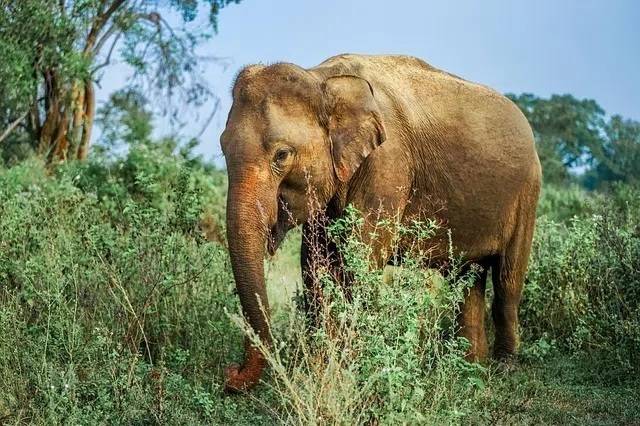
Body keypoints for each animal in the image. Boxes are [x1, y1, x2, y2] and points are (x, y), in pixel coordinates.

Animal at [220, 54, 541, 392]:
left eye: (281, 155)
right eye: (222, 148)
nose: (231, 374)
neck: (322, 80)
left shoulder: (388, 166)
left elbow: (359, 263)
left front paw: (341, 376)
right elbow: (315, 266)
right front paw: (320, 372)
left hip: (528, 192)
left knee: (507, 281)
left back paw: (503, 369)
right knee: (467, 278)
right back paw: (470, 370)